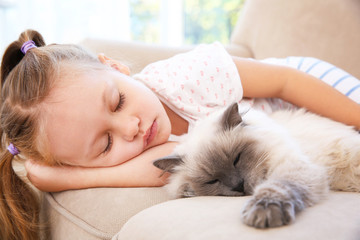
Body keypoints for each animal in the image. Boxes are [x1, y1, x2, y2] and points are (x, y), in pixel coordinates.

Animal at [153, 102, 360, 229]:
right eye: (212, 181)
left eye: (236, 158)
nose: (238, 186)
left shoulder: (292, 166)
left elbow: (275, 189)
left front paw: (263, 212)